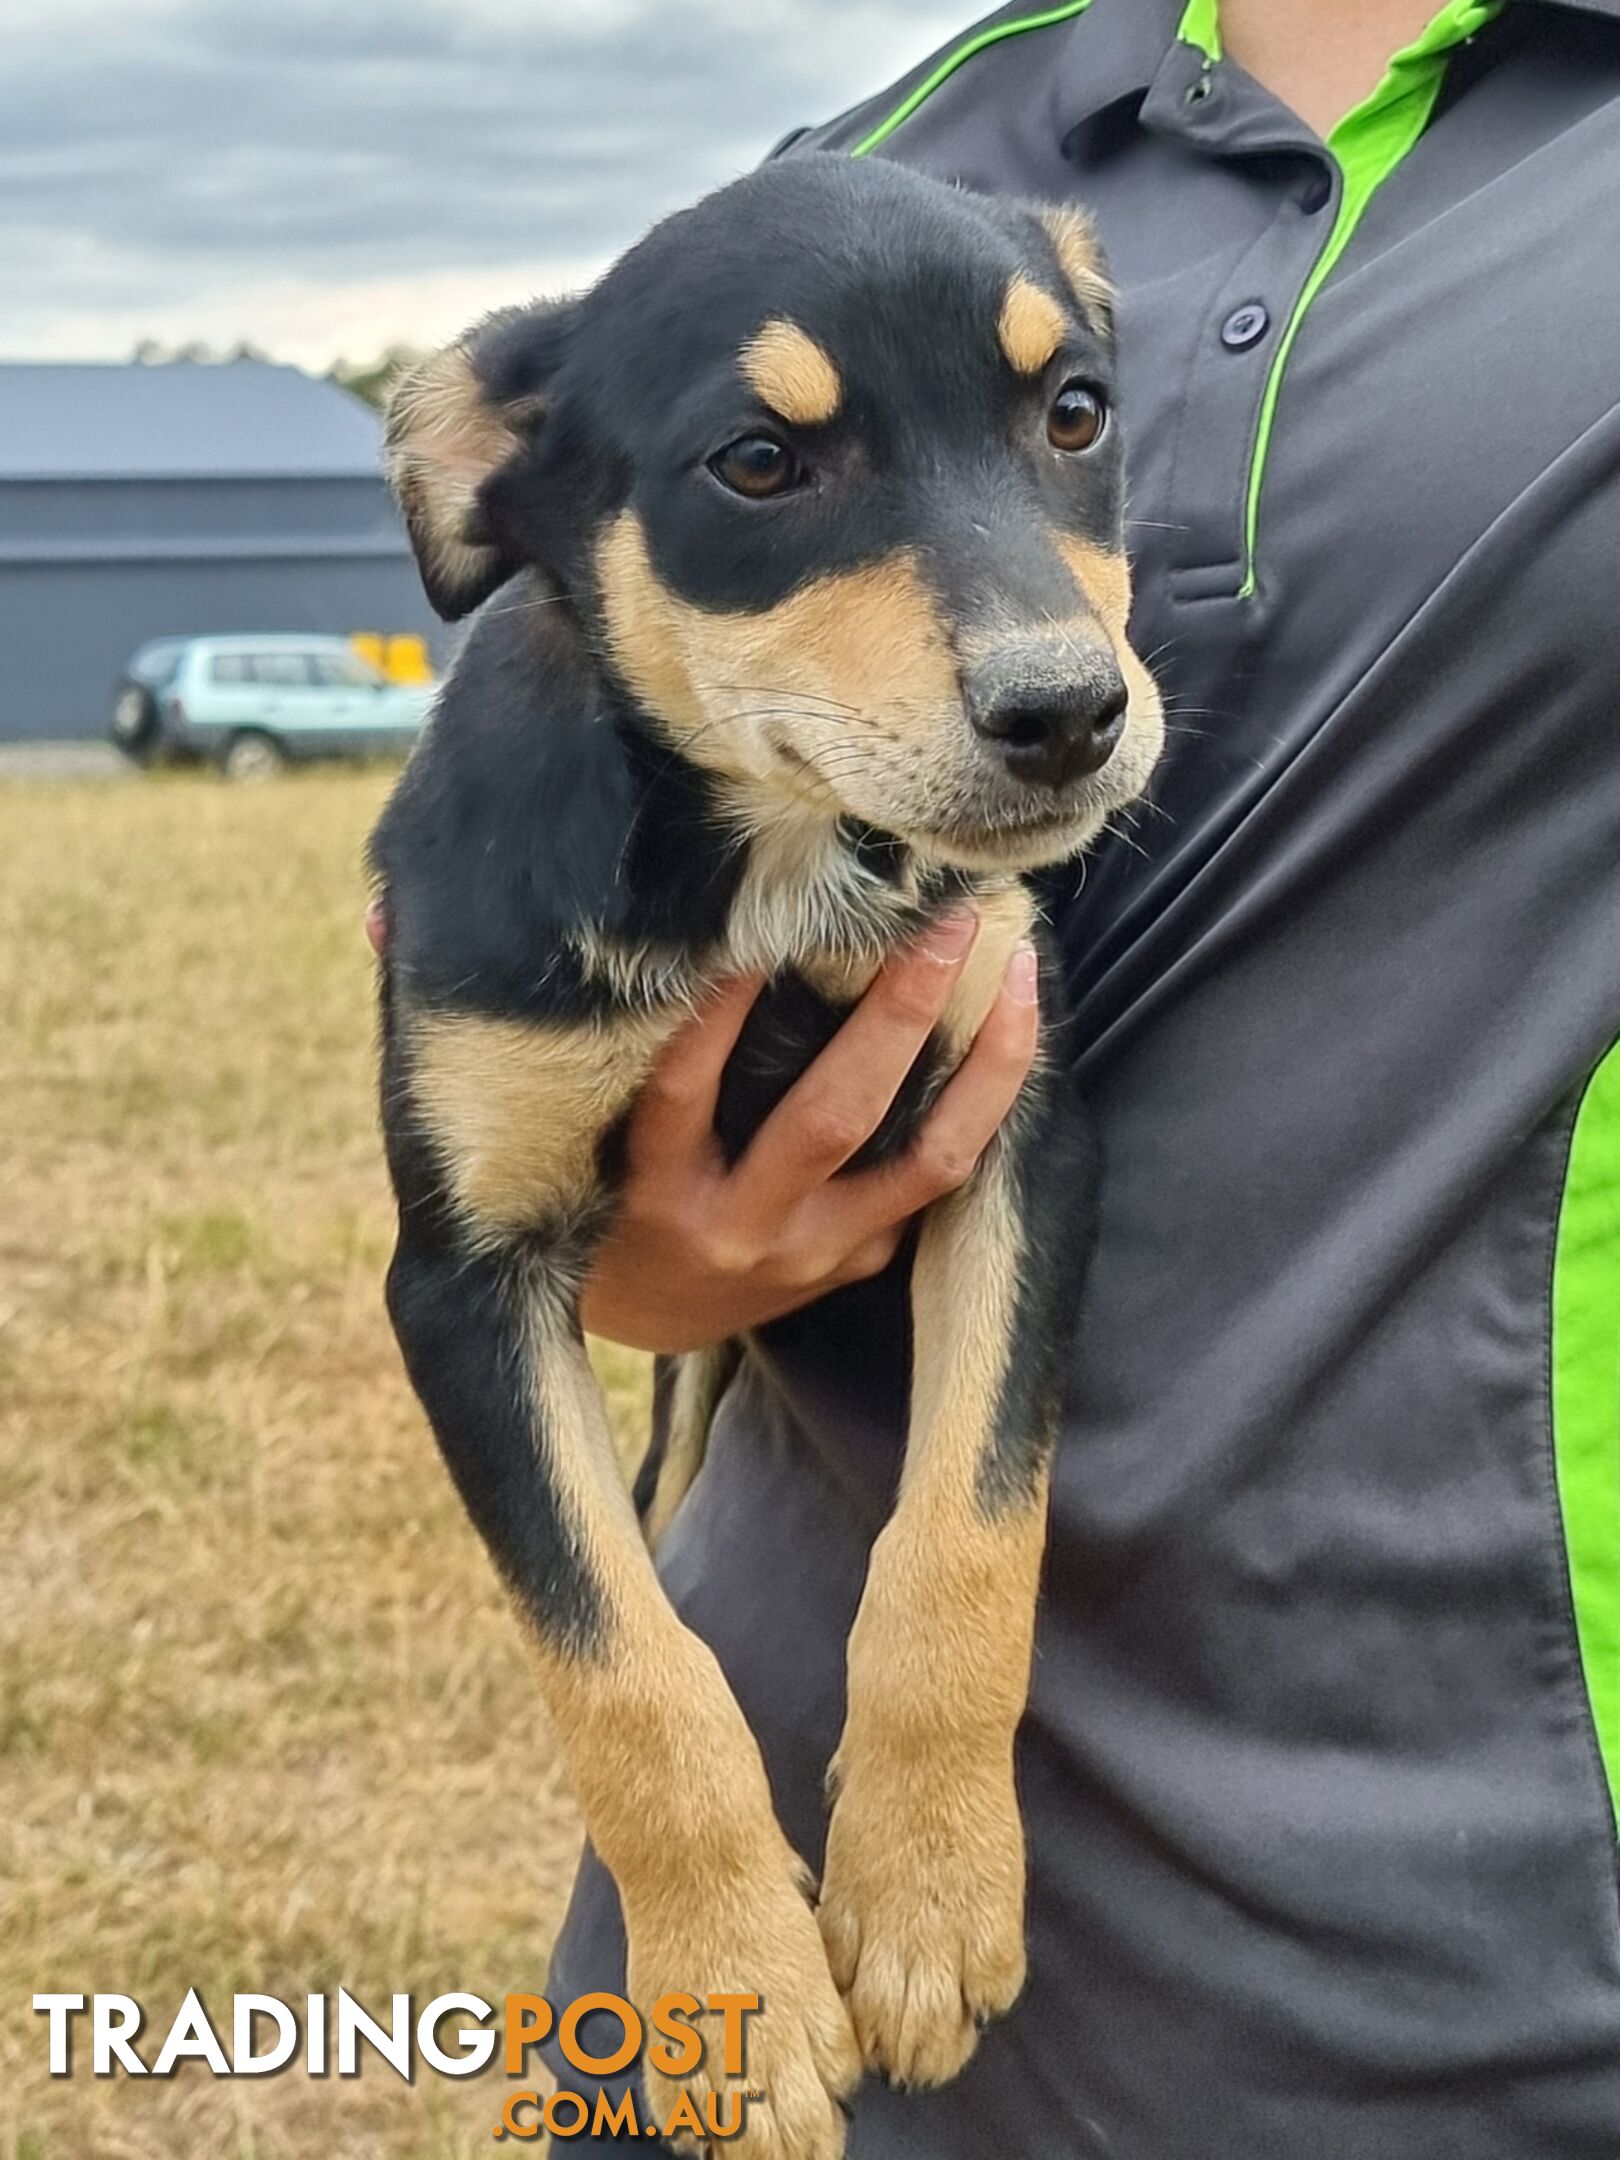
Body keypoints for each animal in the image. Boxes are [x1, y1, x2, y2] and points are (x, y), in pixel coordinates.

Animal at [373, 156, 1157, 2160]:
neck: (769, 872)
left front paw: (930, 1894)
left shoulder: (1021, 1145)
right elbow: (622, 1664)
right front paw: (730, 1989)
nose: (1070, 713)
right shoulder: (461, 1284)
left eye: (1074, 415)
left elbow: (968, 1539)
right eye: (756, 464)